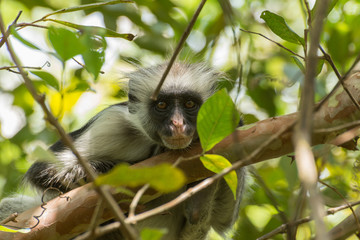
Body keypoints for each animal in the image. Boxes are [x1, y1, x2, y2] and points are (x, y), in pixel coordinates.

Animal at [0, 62, 245, 240]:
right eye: (162, 105)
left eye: (189, 104)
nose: (177, 124)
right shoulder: (113, 122)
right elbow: (43, 169)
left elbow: (222, 221)